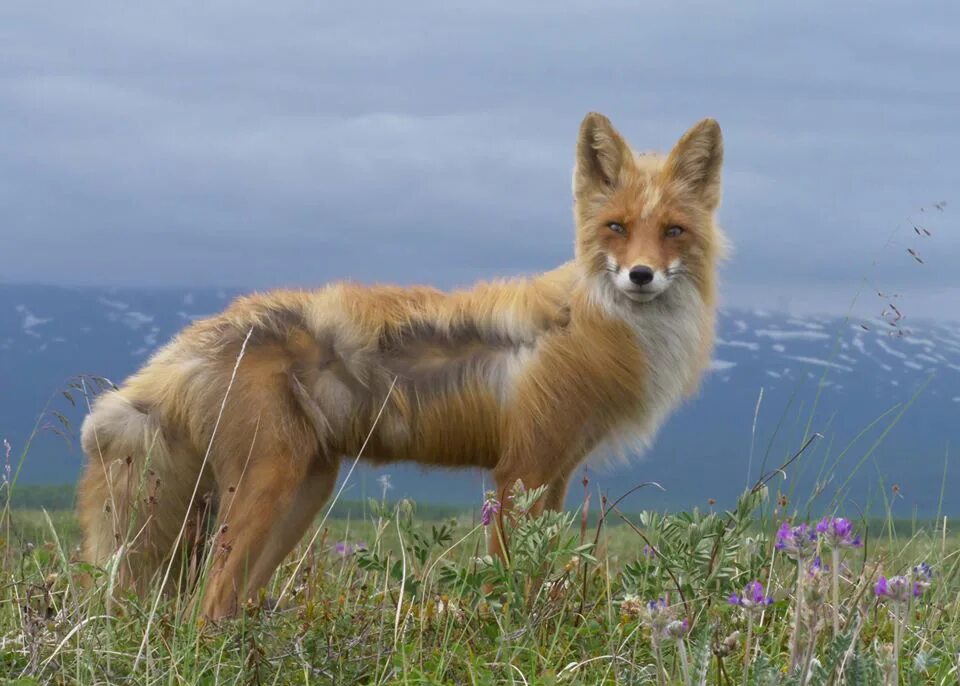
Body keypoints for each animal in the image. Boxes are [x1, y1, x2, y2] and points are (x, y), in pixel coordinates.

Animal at [77, 112, 727, 619]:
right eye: (616, 228)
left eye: (673, 231)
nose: (640, 275)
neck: (590, 325)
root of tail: (193, 340)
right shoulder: (520, 471)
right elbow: (512, 583)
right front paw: (513, 637)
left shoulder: (556, 475)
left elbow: (541, 573)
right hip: (267, 486)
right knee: (205, 605)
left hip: (304, 494)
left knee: (227, 603)